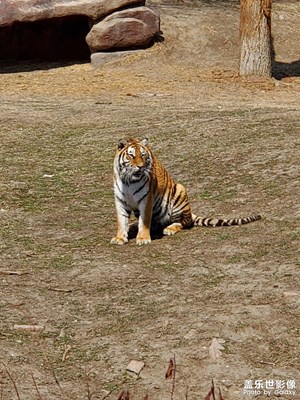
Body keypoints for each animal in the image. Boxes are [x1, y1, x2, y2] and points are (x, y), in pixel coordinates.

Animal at [110, 137, 260, 244]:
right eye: (131, 156)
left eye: (143, 155)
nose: (140, 167)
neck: (129, 181)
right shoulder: (120, 200)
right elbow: (121, 221)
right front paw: (120, 238)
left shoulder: (146, 199)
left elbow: (145, 220)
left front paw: (143, 238)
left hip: (180, 191)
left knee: (184, 222)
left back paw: (169, 229)